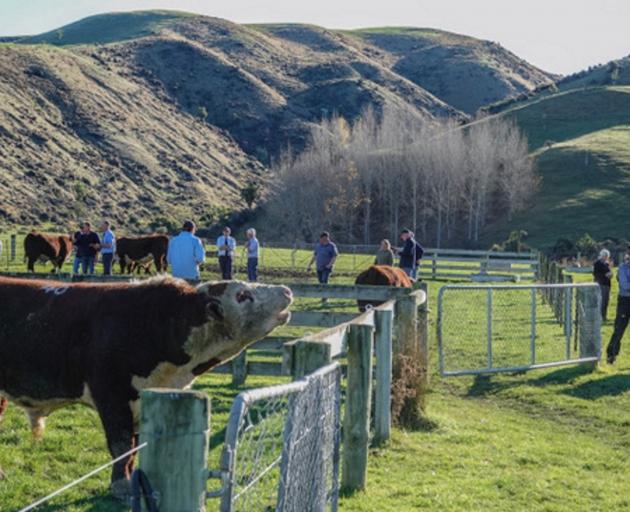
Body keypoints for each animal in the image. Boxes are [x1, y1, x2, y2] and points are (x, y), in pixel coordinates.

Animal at [0, 278, 296, 498]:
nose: (286, 290)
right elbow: (121, 446)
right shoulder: (112, 396)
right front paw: (121, 487)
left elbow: (135, 446)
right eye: (243, 294)